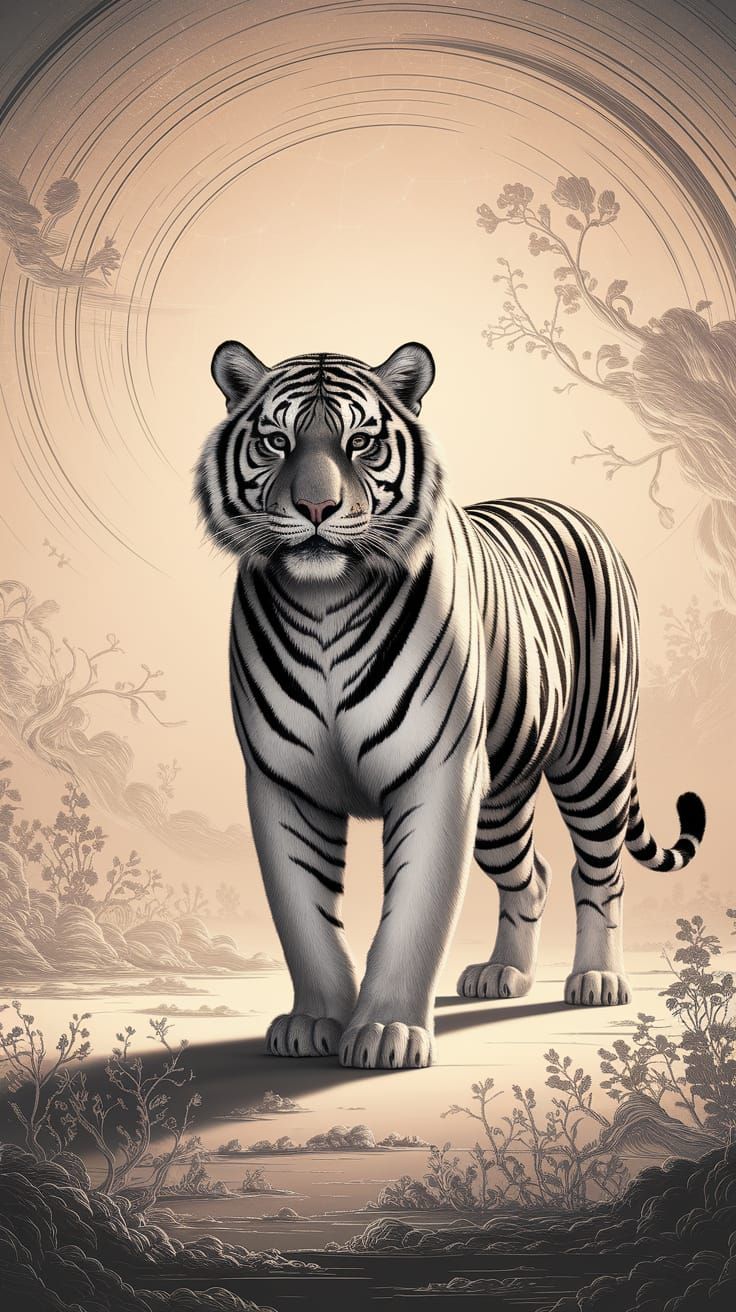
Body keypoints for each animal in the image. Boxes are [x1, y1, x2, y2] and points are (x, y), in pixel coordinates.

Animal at [195, 339, 706, 1070]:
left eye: (360, 442)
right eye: (275, 441)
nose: (317, 508)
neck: (324, 602)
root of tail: (574, 512)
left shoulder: (438, 776)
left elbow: (416, 911)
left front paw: (386, 1031)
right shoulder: (283, 781)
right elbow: (303, 916)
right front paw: (314, 1021)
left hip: (594, 762)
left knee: (598, 872)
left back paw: (597, 980)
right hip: (499, 798)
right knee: (532, 874)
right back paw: (504, 974)